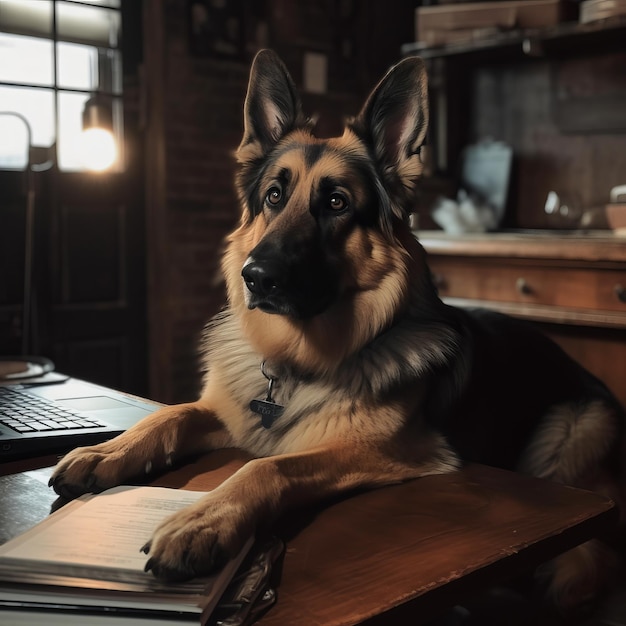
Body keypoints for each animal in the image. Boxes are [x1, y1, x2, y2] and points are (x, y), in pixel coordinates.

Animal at [51, 50, 620, 608]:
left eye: (336, 203)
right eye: (274, 197)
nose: (256, 277)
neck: (295, 361)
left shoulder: (381, 451)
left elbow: (266, 467)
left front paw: (204, 519)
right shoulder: (225, 412)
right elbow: (167, 415)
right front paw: (108, 451)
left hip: (567, 433)